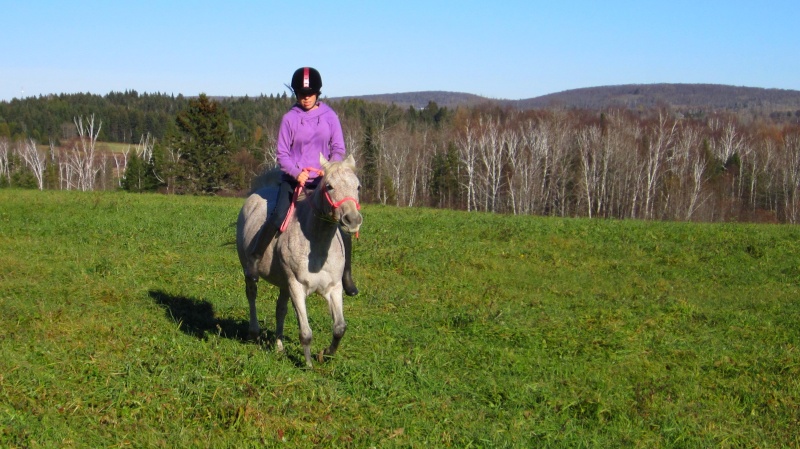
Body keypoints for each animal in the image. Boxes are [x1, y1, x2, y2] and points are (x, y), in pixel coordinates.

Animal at [234, 154, 362, 368]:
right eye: (329, 186)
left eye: (358, 186)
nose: (352, 220)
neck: (317, 243)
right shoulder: (297, 287)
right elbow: (306, 332)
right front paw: (309, 365)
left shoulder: (334, 288)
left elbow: (339, 328)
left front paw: (325, 354)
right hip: (249, 269)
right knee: (251, 294)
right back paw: (254, 332)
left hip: (283, 284)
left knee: (280, 309)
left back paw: (279, 346)